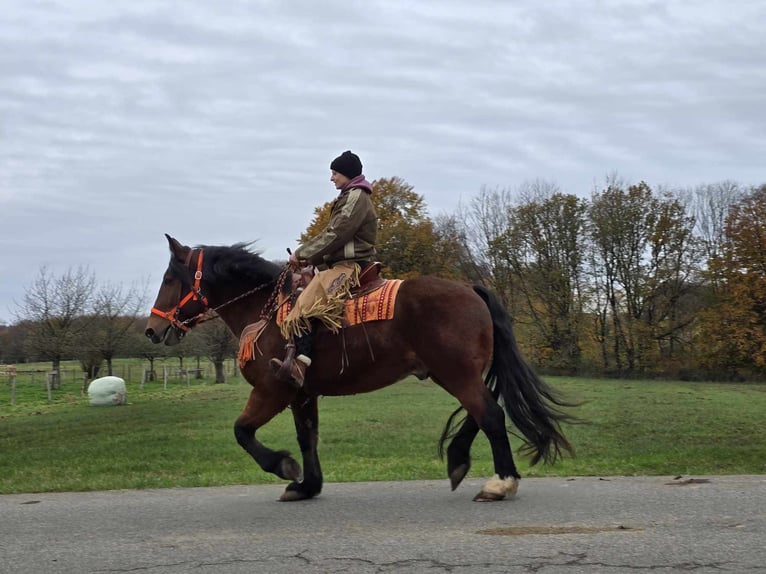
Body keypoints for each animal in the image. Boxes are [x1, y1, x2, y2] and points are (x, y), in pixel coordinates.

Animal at [146, 236, 576, 502]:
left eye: (169, 277)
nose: (152, 329)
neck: (265, 312)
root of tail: (470, 288)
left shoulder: (271, 391)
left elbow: (242, 432)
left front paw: (284, 466)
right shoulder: (302, 394)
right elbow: (307, 438)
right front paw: (307, 485)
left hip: (457, 374)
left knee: (490, 415)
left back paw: (501, 483)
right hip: (458, 374)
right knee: (482, 413)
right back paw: (458, 460)